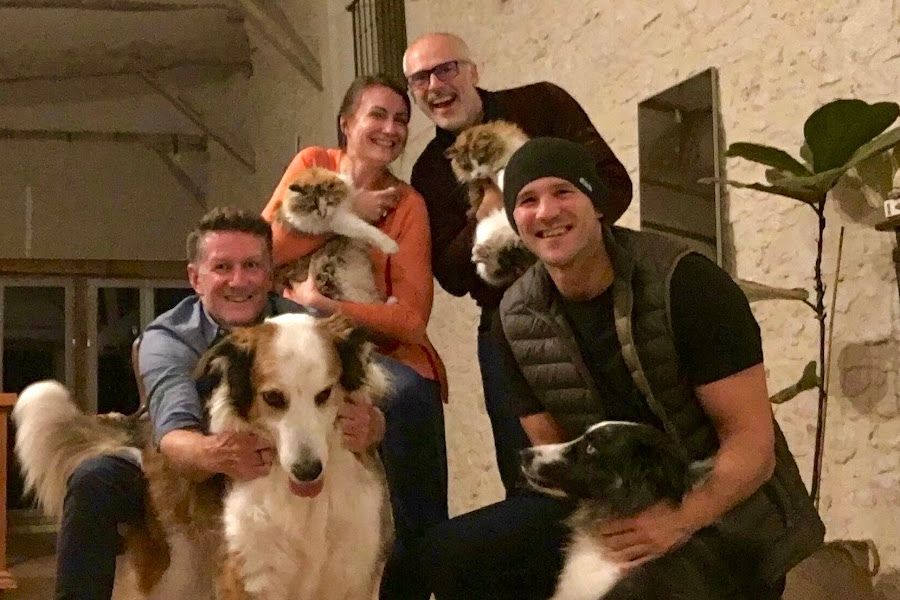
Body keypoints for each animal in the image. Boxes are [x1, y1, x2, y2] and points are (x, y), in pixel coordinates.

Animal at [13, 312, 394, 596]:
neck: (303, 503)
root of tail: (148, 430)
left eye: (325, 394)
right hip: (173, 574)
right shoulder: (249, 574)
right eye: (273, 398)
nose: (308, 470)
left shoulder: (351, 575)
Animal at [274, 166, 398, 302]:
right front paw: (391, 246)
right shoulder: (339, 221)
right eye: (313, 205)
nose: (323, 214)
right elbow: (365, 229)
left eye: (329, 201)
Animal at [444, 120, 536, 288]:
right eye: (467, 166)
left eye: (481, 159)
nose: (478, 174)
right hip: (484, 233)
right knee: (496, 267)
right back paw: (481, 253)